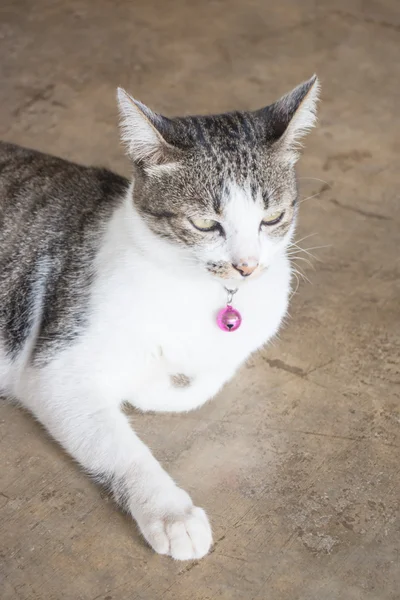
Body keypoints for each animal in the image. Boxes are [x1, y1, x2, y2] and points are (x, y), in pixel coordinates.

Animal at [0, 75, 318, 556]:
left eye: (272, 217)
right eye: (205, 225)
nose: (246, 266)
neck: (197, 290)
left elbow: (199, 383)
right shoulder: (55, 369)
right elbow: (123, 444)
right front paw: (172, 513)